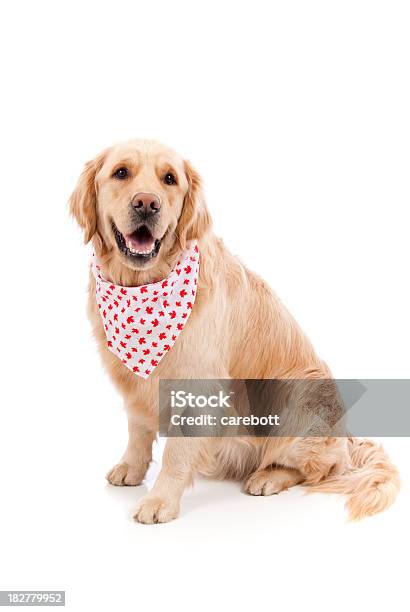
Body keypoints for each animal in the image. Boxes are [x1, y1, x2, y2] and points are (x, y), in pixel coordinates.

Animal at [70, 141, 400, 524]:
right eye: (121, 172)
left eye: (170, 179)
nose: (147, 203)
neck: (143, 285)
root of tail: (346, 436)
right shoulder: (133, 380)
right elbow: (137, 428)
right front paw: (132, 468)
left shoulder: (198, 386)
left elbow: (176, 452)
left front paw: (160, 500)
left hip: (295, 394)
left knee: (323, 468)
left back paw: (269, 477)